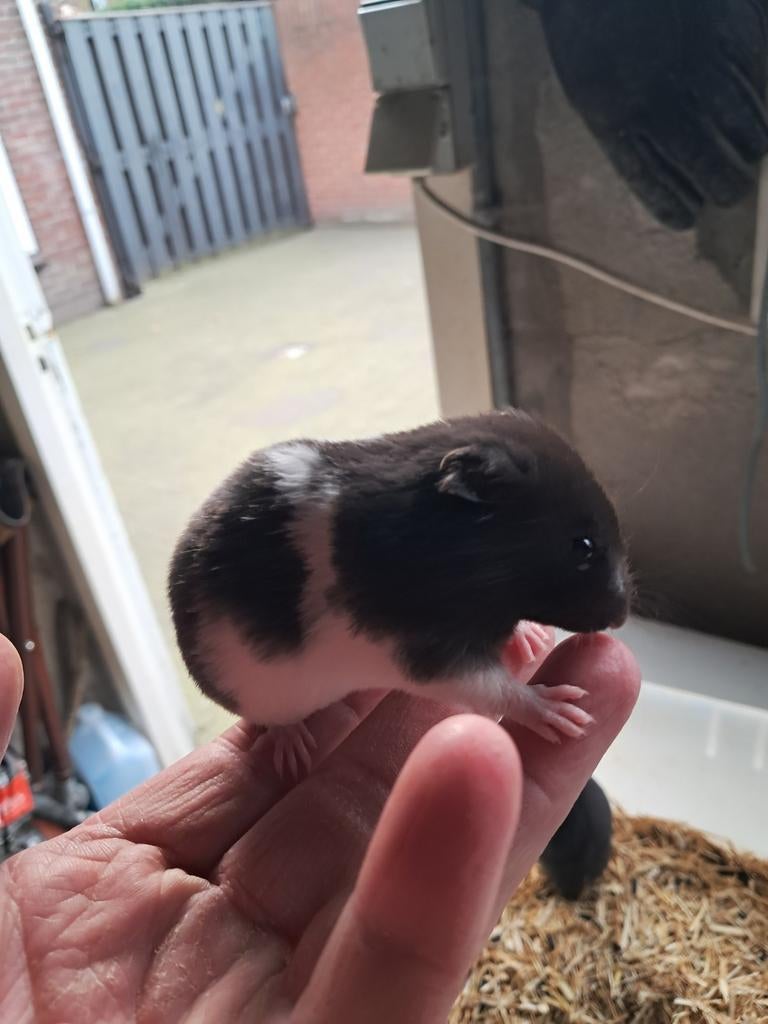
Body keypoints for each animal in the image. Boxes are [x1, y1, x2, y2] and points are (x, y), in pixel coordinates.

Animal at [169, 410, 629, 776]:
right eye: (582, 546)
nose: (622, 616)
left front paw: (529, 638)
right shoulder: (425, 657)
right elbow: (498, 688)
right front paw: (566, 713)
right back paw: (292, 750)